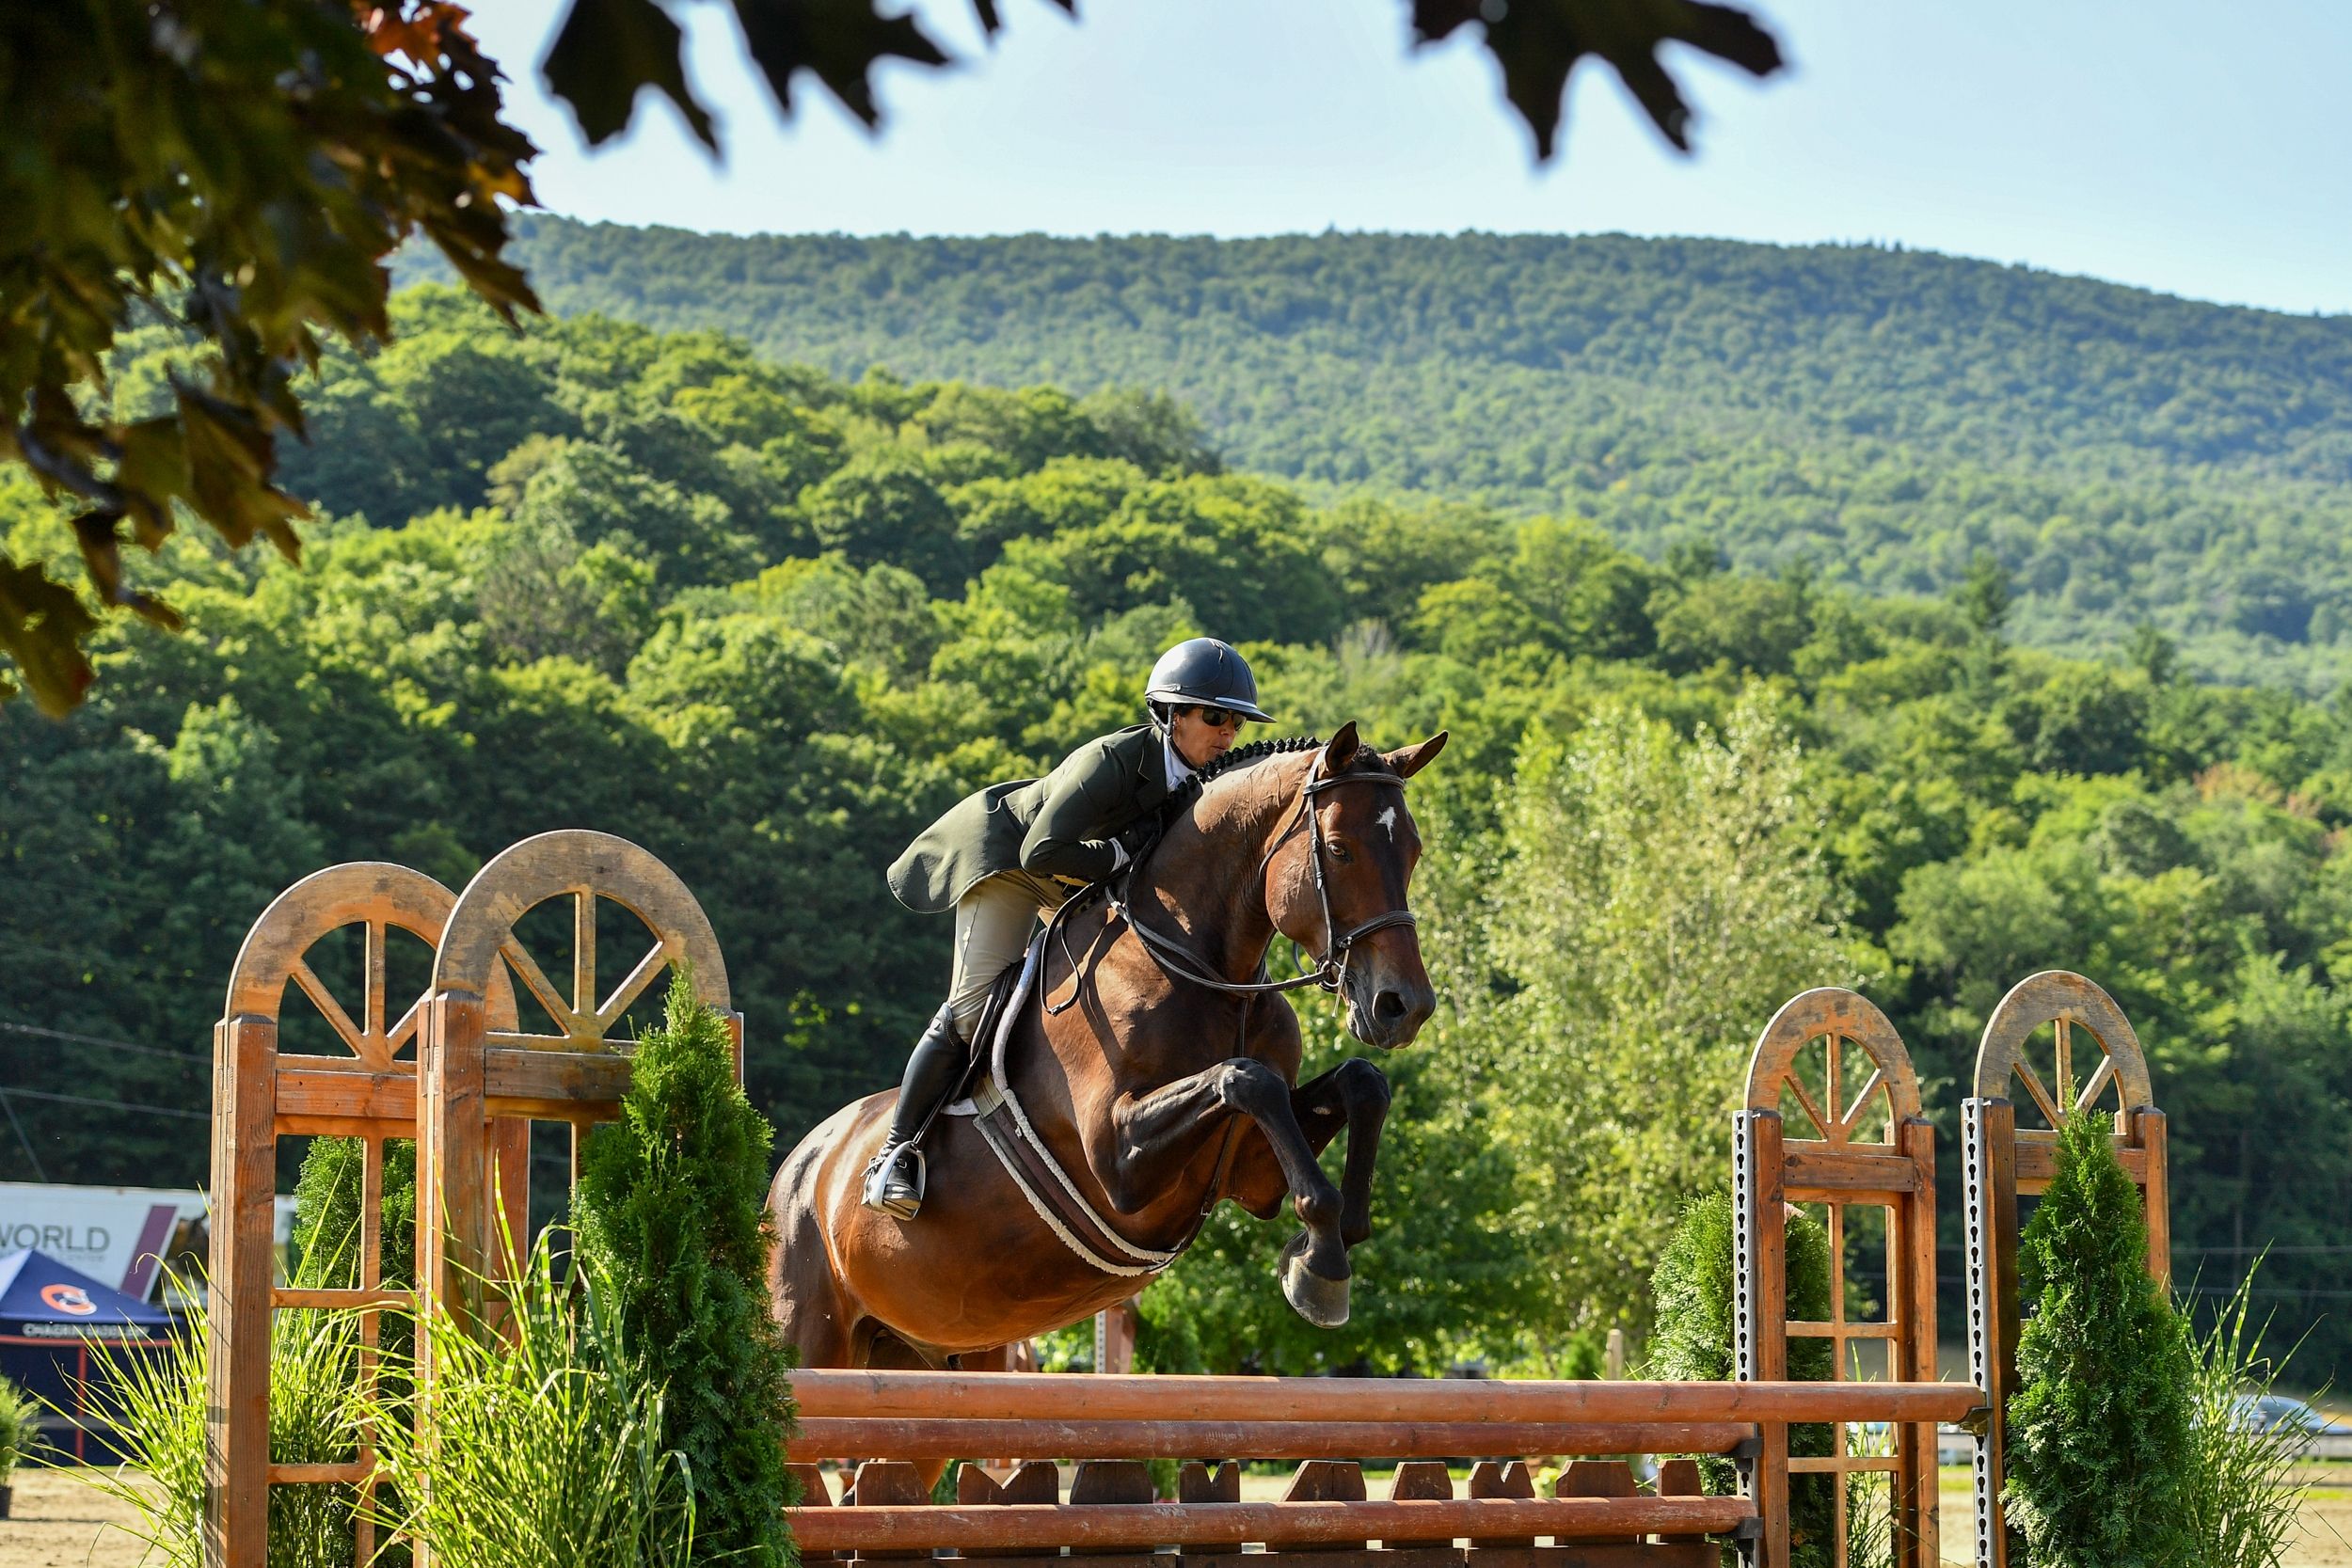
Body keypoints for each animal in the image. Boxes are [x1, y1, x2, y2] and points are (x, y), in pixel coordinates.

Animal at [766, 722, 1447, 1372]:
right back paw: (896, 1171)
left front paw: (1332, 1243)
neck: (1204, 971)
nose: (1404, 1007)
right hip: (808, 1332)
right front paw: (1322, 1266)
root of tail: (797, 1163)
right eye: (1339, 849)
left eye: (1413, 852)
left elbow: (1361, 1082)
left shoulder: (1251, 1172)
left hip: (925, 1349)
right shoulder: (1119, 1161)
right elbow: (1246, 1078)